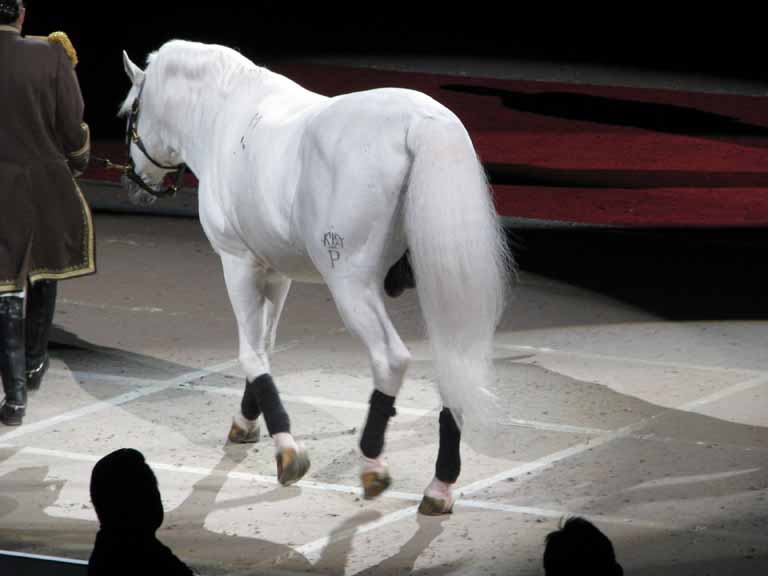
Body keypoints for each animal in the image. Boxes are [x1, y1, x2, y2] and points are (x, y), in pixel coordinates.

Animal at [121, 42, 510, 516]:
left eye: (130, 111)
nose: (135, 185)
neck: (224, 116)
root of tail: (419, 123)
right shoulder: (276, 272)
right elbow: (265, 347)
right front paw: (247, 423)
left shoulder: (238, 263)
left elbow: (250, 352)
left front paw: (287, 450)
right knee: (456, 365)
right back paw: (440, 486)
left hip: (352, 286)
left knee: (390, 359)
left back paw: (373, 464)